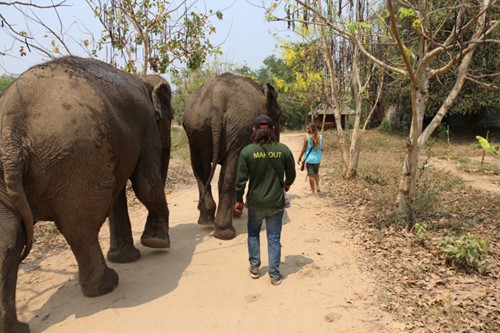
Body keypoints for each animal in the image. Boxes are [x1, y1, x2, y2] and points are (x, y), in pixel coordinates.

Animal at [0, 55, 174, 330]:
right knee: (80, 226)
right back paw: (107, 285)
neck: (142, 77)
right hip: (79, 157)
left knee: (8, 238)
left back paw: (17, 328)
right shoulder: (147, 126)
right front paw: (157, 243)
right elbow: (145, 183)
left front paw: (130, 255)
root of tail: (11, 128)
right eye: (171, 115)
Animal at [182, 72, 282, 239]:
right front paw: (239, 210)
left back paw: (206, 220)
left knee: (200, 168)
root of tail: (217, 102)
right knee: (230, 170)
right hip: (237, 127)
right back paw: (225, 231)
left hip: (196, 126)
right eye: (279, 116)